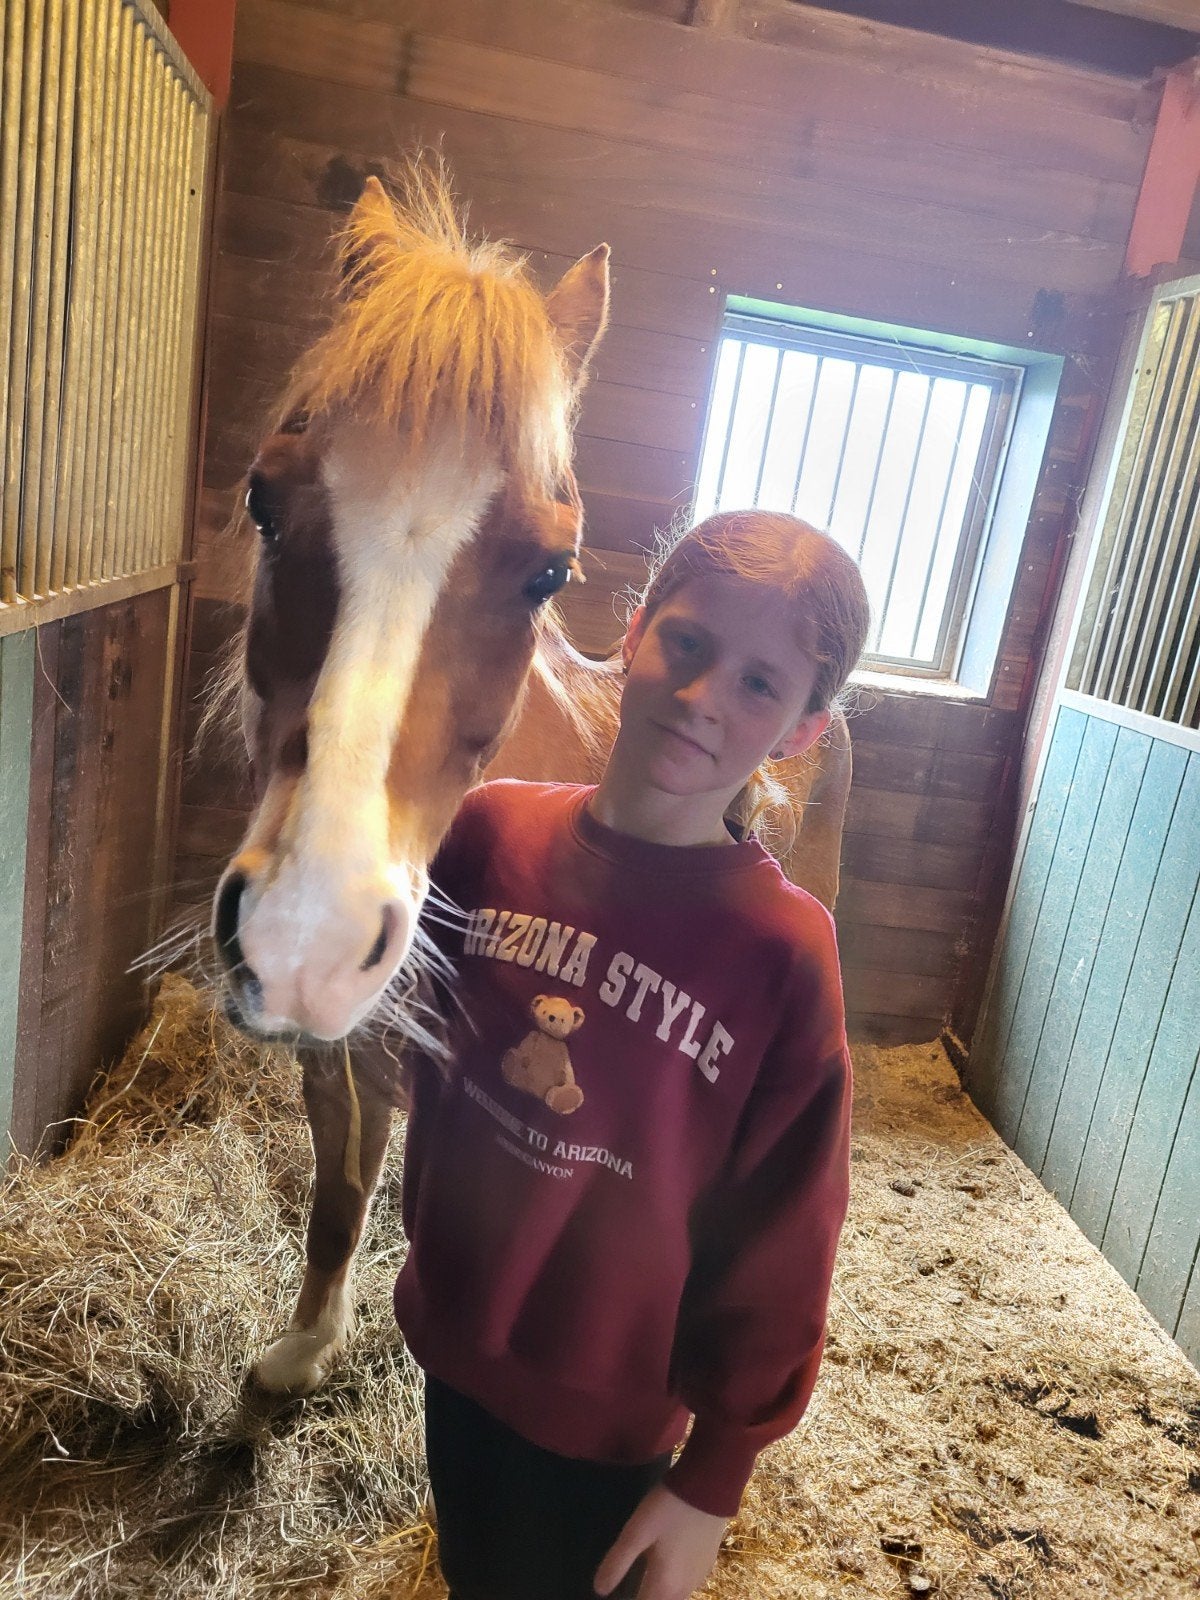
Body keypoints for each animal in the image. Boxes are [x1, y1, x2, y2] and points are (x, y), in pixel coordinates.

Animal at [207, 165, 852, 1395]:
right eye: (265, 497)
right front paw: (306, 1342)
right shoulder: (342, 1034)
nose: (309, 932)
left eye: (550, 569)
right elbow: (337, 1182)